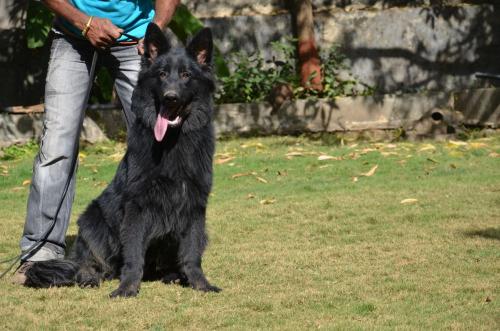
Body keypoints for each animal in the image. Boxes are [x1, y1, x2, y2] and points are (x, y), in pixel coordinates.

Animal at [24, 24, 221, 298]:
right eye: (161, 74)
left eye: (185, 75)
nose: (170, 97)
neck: (172, 143)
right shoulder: (136, 205)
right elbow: (134, 255)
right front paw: (127, 288)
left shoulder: (194, 204)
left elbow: (191, 254)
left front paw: (199, 283)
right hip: (92, 219)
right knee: (88, 263)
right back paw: (89, 276)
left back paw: (173, 275)